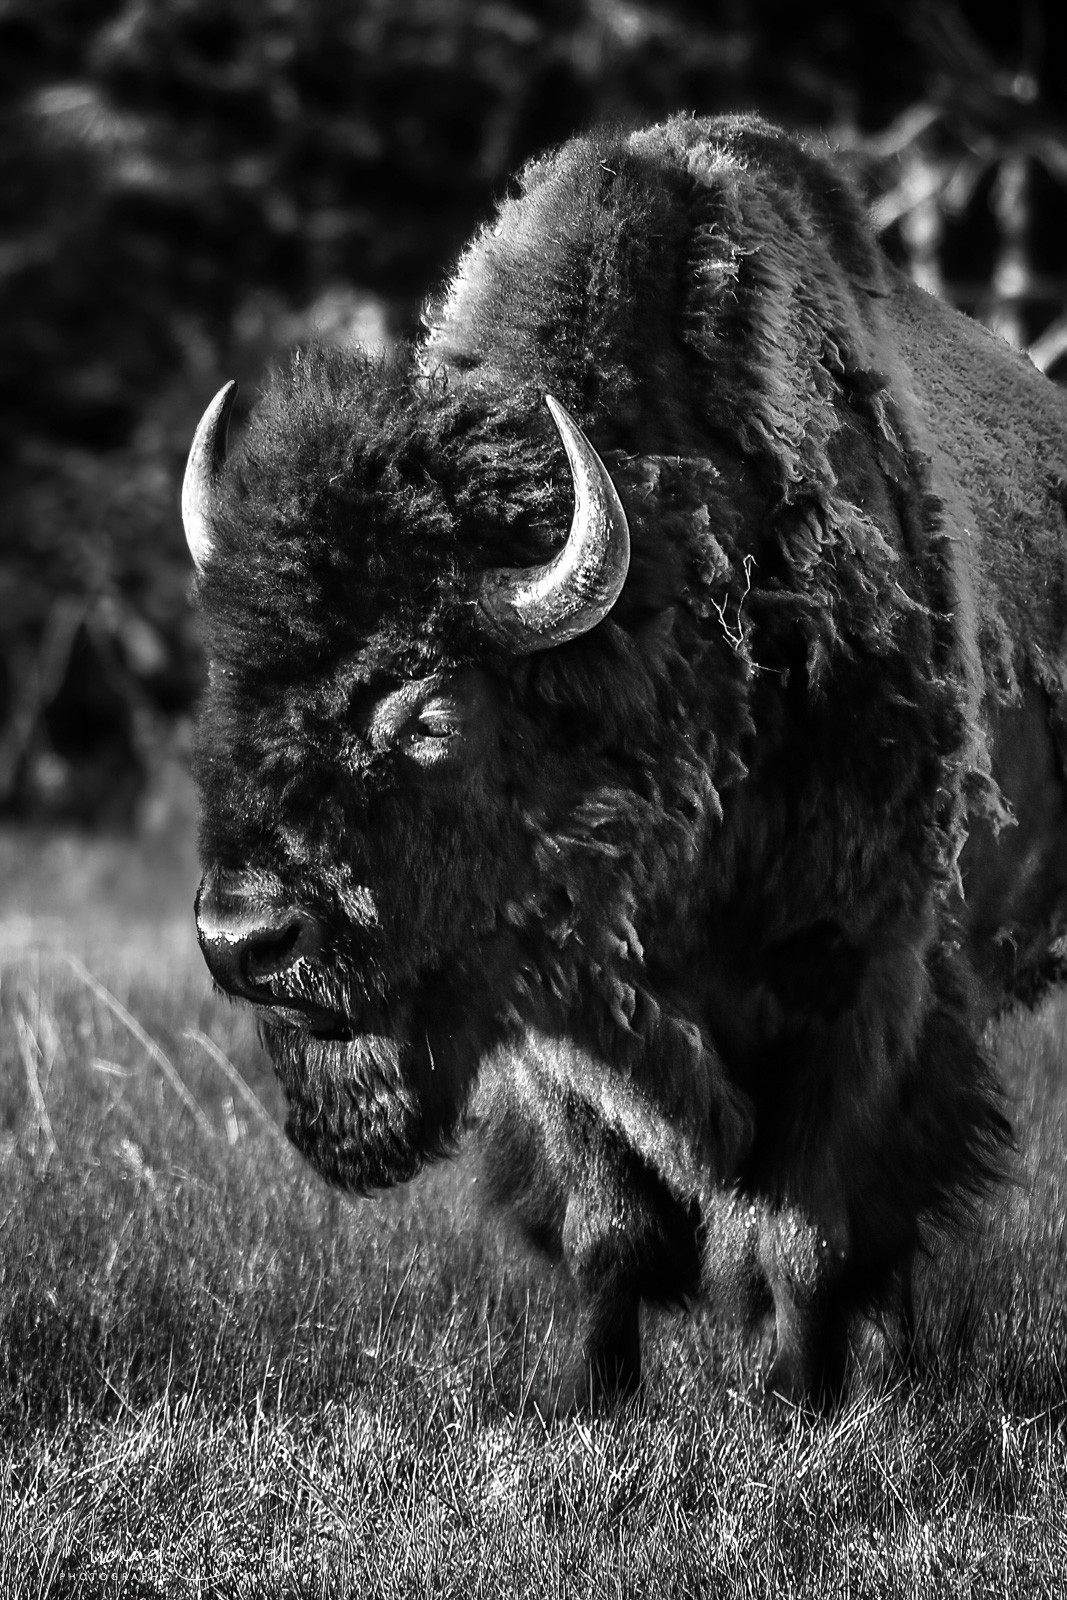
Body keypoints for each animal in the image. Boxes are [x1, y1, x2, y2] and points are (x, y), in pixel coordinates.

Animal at [185, 115, 1067, 1411]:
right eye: (233, 683)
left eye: (431, 709)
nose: (243, 937)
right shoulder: (552, 1030)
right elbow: (606, 1227)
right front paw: (593, 1400)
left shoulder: (861, 984)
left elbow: (806, 1228)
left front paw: (796, 1410)